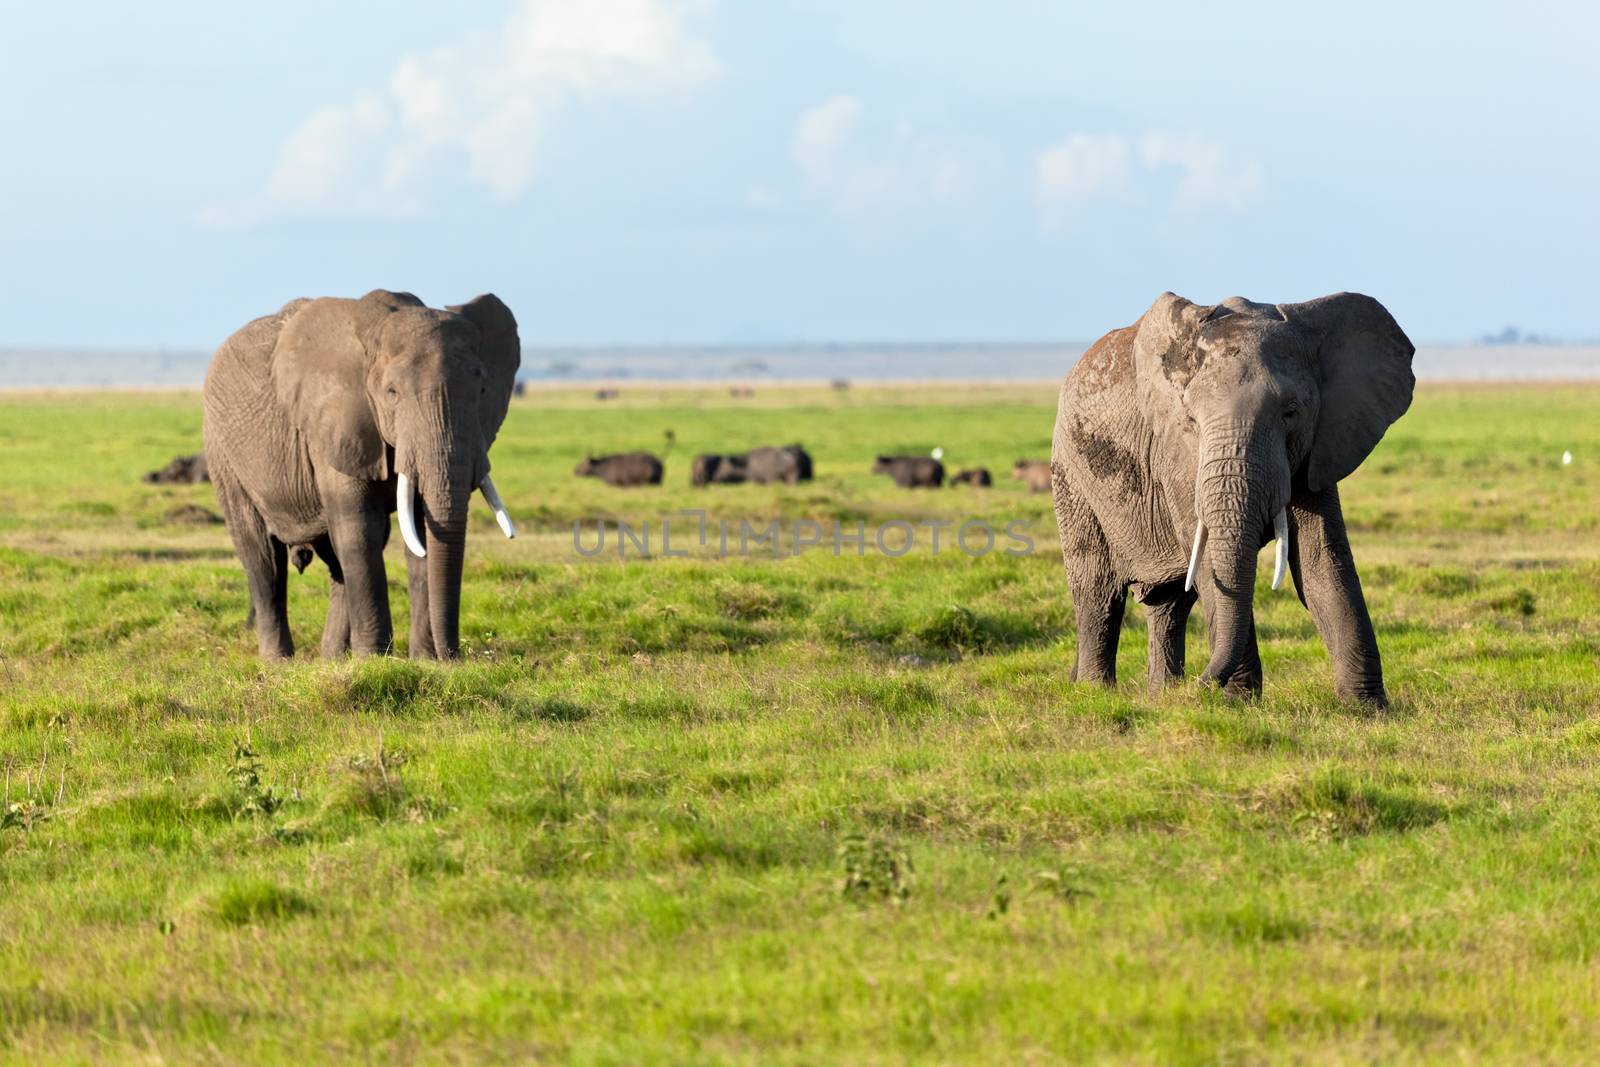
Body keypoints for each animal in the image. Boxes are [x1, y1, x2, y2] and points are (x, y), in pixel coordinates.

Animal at [203, 287, 518, 662]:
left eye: (482, 391)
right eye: (392, 393)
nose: (454, 656)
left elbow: (420, 532)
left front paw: (423, 661)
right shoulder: (336, 421)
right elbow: (360, 530)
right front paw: (374, 660)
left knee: (335, 560)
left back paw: (332, 658)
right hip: (223, 451)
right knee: (263, 558)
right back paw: (278, 661)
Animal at [1049, 292, 1414, 710]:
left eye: (1291, 413)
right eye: (1191, 420)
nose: (1200, 686)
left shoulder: (1320, 444)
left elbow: (1323, 561)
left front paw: (1368, 710)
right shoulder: (1177, 453)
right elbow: (1209, 559)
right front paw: (1239, 706)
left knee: (1170, 604)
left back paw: (1161, 695)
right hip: (1071, 474)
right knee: (1097, 592)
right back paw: (1094, 693)